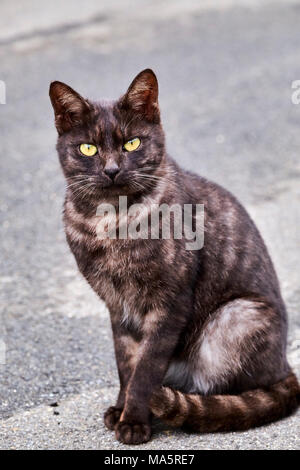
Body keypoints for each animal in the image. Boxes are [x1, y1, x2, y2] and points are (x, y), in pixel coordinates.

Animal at [48, 68, 298, 442]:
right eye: (88, 148)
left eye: (132, 143)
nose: (111, 169)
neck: (112, 222)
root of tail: (286, 367)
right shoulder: (117, 307)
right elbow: (127, 364)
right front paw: (121, 409)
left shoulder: (170, 302)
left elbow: (145, 370)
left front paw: (134, 421)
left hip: (234, 317)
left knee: (240, 390)